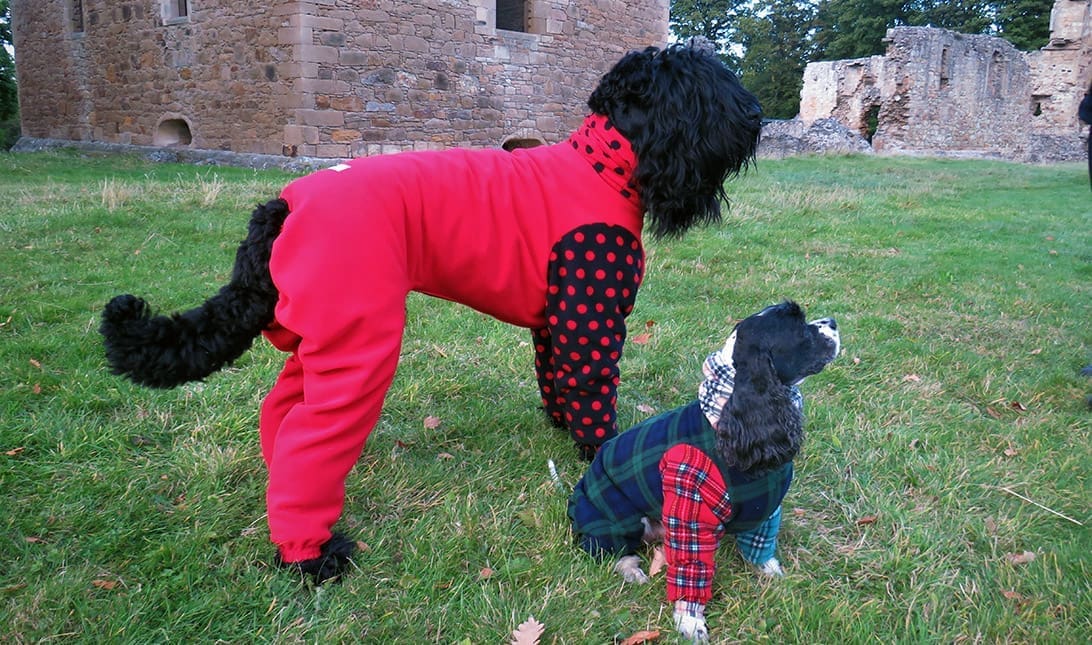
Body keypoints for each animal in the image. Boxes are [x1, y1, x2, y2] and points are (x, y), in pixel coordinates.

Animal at [104, 42, 768, 584]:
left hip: (315, 342)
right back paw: (311, 556)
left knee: (282, 419)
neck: (600, 167)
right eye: (699, 86)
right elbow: (592, 394)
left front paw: (559, 428)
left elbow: (553, 380)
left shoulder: (554, 321)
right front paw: (602, 453)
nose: (755, 117)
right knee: (309, 444)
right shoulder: (591, 320)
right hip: (359, 347)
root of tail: (283, 203)